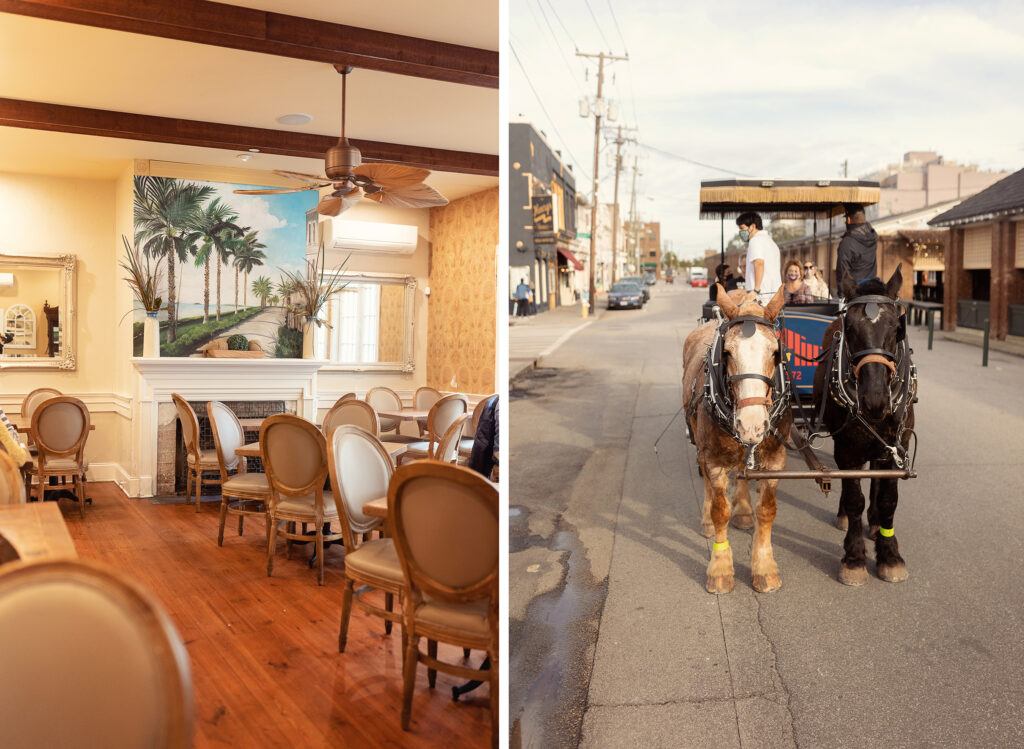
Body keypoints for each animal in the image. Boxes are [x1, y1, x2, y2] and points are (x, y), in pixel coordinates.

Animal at [688, 284, 790, 594]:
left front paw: (765, 568)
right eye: (728, 352)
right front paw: (720, 569)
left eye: (776, 352)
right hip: (702, 448)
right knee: (709, 487)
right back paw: (707, 521)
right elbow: (720, 510)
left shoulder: (775, 460)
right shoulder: (714, 460)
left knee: (744, 472)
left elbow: (767, 511)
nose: (752, 424)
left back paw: (743, 511)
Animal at [815, 266, 921, 590]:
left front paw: (890, 554)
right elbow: (854, 498)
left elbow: (888, 499)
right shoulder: (847, 449)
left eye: (897, 328)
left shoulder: (896, 446)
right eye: (849, 328)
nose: (874, 400)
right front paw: (854, 558)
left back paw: (874, 524)